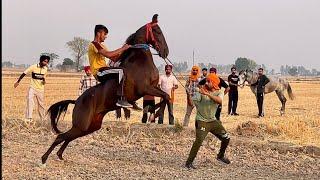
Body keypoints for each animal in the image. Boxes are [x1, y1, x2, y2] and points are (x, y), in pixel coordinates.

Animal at [42, 14, 170, 164]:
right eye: (158, 31)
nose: (166, 51)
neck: (140, 61)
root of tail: (77, 101)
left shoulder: (154, 87)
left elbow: (166, 97)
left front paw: (149, 112)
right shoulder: (146, 88)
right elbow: (166, 97)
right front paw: (151, 114)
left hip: (90, 126)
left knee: (68, 137)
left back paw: (59, 155)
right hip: (82, 125)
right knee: (61, 137)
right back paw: (44, 159)